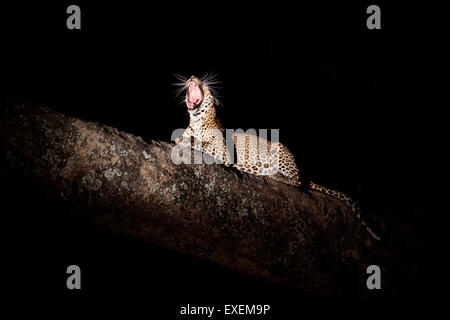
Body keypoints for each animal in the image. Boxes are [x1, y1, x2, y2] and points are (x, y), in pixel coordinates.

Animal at [172, 73, 384, 242]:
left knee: (297, 181)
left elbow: (203, 143)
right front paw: (182, 138)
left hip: (279, 150)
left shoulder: (224, 152)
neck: (197, 121)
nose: (193, 76)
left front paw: (188, 140)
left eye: (206, 86)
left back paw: (273, 175)